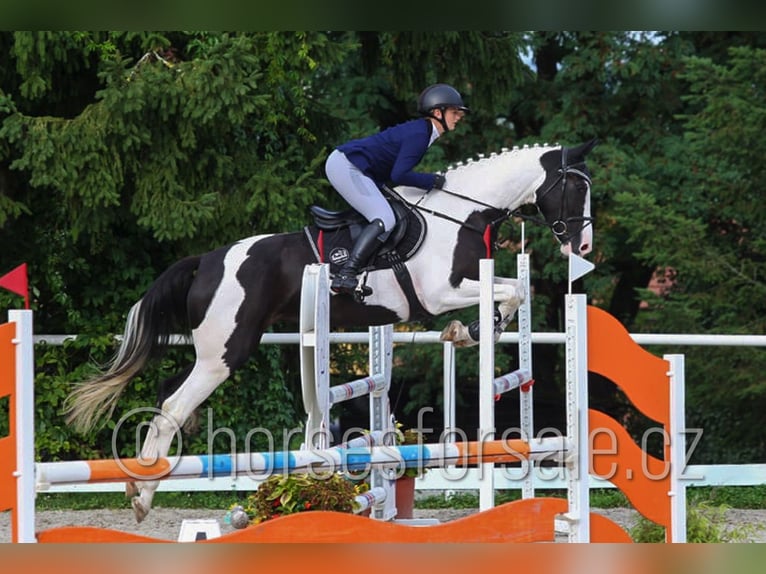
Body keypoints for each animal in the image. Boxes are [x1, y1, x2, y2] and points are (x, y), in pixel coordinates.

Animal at [63, 139, 597, 522]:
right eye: (576, 188)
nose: (583, 245)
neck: (462, 214)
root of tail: (208, 260)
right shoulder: (439, 292)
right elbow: (510, 291)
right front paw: (469, 329)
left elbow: (514, 290)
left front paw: (469, 331)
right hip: (225, 352)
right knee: (173, 407)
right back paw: (142, 495)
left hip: (218, 351)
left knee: (168, 394)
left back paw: (138, 482)